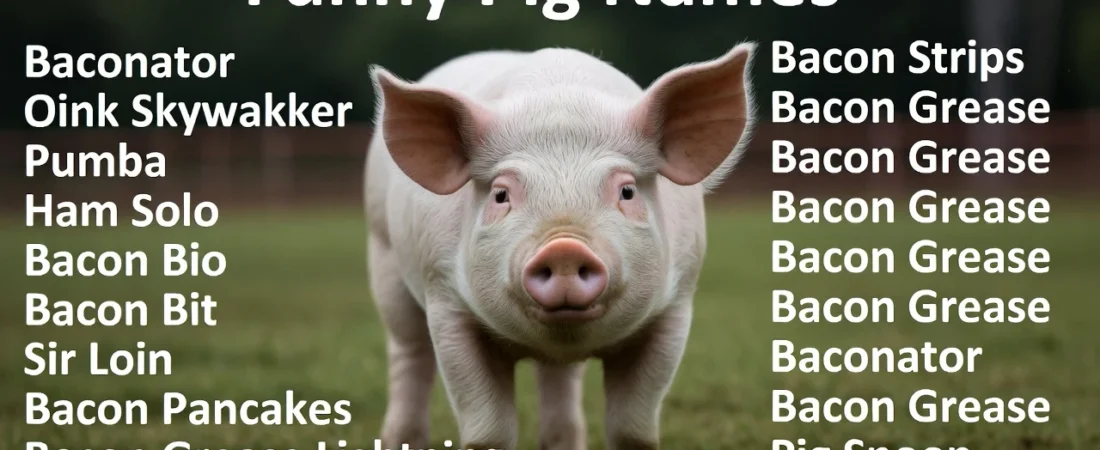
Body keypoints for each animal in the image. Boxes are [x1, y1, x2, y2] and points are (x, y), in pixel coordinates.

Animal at [364, 43, 756, 450]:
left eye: (627, 191)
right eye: (501, 195)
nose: (565, 248)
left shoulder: (675, 308)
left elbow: (633, 430)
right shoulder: (446, 303)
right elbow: (488, 432)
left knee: (558, 380)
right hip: (384, 257)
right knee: (409, 352)